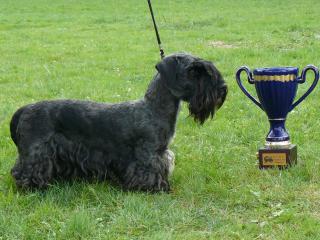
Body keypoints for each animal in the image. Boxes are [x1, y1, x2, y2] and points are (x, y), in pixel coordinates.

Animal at [10, 53, 226, 192]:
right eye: (194, 70)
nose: (223, 88)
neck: (153, 108)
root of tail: (25, 109)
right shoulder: (148, 154)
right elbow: (150, 171)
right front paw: (154, 188)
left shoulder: (160, 152)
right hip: (36, 152)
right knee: (23, 170)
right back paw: (32, 186)